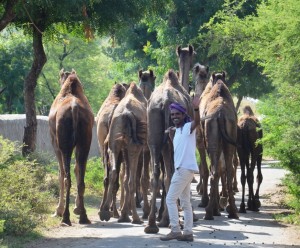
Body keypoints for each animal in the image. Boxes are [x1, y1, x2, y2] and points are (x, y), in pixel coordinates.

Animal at [48, 69, 94, 226]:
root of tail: (74, 110)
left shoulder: (55, 143)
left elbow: (60, 173)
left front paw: (57, 210)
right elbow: (77, 170)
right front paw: (77, 209)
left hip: (64, 144)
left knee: (67, 177)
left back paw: (65, 217)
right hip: (85, 141)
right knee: (81, 178)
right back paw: (84, 216)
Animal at [99, 82, 148, 224]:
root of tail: (126, 114)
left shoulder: (123, 149)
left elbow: (124, 177)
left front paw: (124, 212)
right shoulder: (143, 149)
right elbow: (135, 178)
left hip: (114, 144)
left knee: (113, 173)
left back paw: (105, 212)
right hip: (134, 147)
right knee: (131, 179)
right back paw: (136, 218)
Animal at [144, 69, 192, 233]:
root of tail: (165, 100)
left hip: (153, 135)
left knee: (156, 174)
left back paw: (152, 224)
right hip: (169, 142)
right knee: (170, 175)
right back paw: (167, 221)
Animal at [199, 70, 239, 220]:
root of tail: (221, 114)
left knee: (216, 170)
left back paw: (210, 211)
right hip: (229, 137)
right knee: (227, 169)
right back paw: (232, 211)